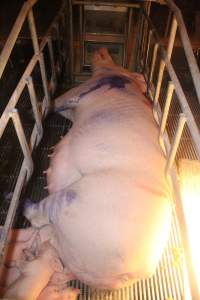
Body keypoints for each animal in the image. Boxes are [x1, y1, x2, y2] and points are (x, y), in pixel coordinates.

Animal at [24, 48, 172, 290]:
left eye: (111, 59)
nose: (102, 49)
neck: (118, 75)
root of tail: (128, 273)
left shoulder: (86, 88)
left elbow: (58, 100)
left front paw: (37, 107)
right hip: (73, 254)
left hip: (75, 198)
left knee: (40, 215)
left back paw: (25, 205)